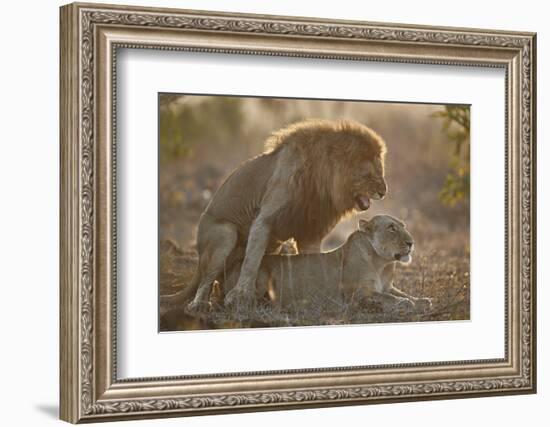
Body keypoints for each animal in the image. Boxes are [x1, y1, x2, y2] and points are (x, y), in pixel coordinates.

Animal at [162, 120, 390, 318]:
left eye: (381, 171)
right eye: (370, 174)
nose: (383, 192)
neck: (322, 181)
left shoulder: (311, 232)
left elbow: (311, 261)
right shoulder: (264, 219)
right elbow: (252, 261)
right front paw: (240, 297)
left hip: (273, 244)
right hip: (225, 234)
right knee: (205, 281)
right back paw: (200, 305)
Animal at [222, 217, 434, 310]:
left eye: (403, 226)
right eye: (391, 228)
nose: (411, 242)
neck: (382, 264)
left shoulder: (388, 286)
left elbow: (402, 293)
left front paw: (422, 300)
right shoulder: (356, 293)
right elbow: (386, 297)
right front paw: (403, 303)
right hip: (259, 274)